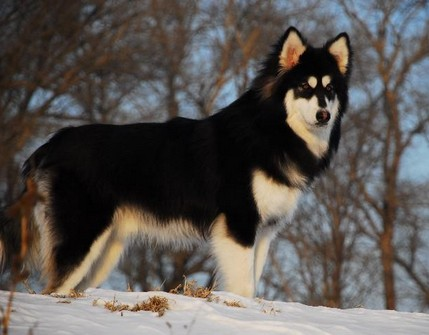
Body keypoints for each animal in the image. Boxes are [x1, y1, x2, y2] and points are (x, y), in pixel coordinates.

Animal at [0, 27, 352, 298]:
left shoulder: (263, 233)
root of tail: (51, 143)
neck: (271, 130)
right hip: (81, 236)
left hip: (105, 250)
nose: (324, 115)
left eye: (330, 89)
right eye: (304, 86)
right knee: (54, 288)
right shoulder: (238, 224)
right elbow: (243, 286)